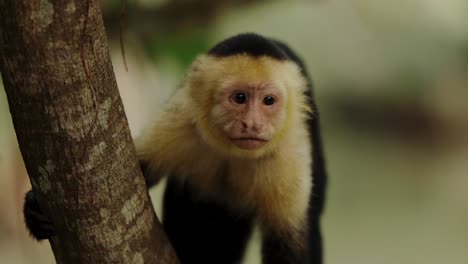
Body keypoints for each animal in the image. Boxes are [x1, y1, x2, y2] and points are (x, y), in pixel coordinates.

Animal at [23, 33, 328, 264]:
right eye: (240, 98)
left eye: (268, 101)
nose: (252, 124)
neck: (232, 152)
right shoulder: (180, 124)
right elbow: (134, 174)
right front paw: (35, 211)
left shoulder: (287, 157)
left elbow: (291, 243)